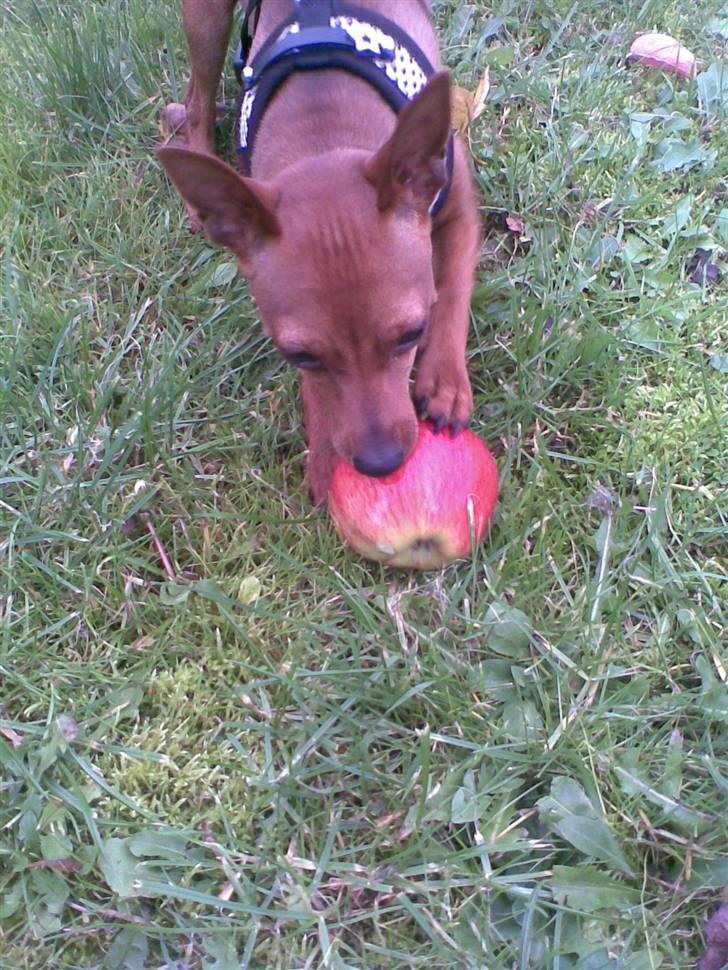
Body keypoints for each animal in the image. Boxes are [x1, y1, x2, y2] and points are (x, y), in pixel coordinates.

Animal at [159, 0, 478, 500]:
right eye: (302, 357)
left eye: (412, 334)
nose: (381, 463)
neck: (325, 127)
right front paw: (326, 456)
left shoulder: (460, 205)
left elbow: (453, 287)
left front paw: (444, 379)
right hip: (206, 21)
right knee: (197, 97)